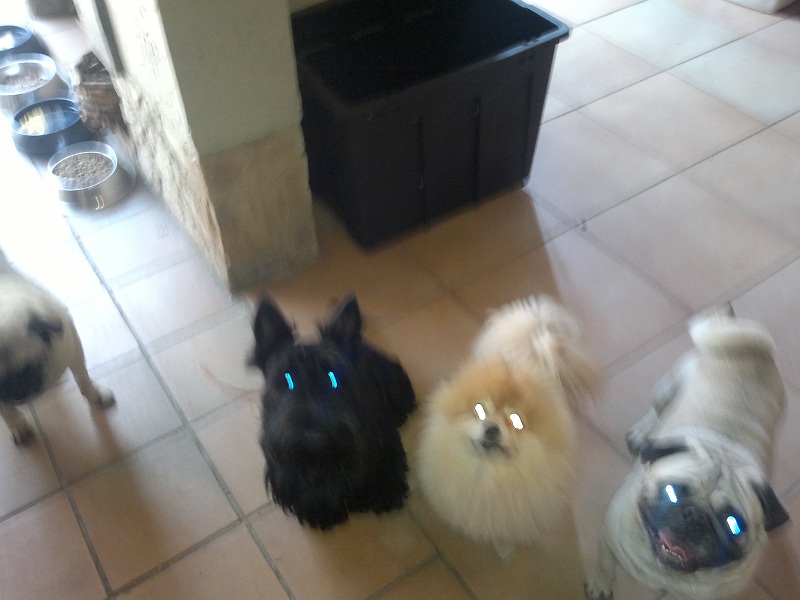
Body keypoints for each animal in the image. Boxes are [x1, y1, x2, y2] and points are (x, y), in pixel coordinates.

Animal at [0, 250, 114, 445]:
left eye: (31, 367)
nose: (15, 391)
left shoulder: (73, 351)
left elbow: (83, 378)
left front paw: (94, 394)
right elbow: (7, 412)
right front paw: (18, 425)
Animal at [251, 294, 416, 530]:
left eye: (333, 377)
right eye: (287, 378)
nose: (314, 438)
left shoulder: (384, 437)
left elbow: (389, 460)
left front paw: (387, 492)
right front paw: (320, 512)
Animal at [585, 310, 790, 600]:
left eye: (734, 524)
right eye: (671, 492)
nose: (695, 517)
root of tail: (754, 350)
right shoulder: (607, 537)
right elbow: (603, 563)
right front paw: (601, 583)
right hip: (666, 389)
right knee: (657, 410)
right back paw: (642, 432)